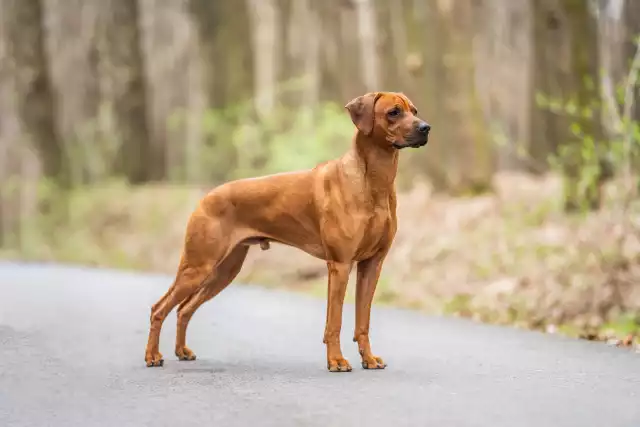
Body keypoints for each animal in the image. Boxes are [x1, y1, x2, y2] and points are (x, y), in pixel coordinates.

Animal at [144, 92, 430, 372]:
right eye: (394, 112)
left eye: (414, 111)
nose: (426, 128)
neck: (372, 181)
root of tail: (205, 198)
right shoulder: (340, 265)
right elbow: (334, 321)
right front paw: (336, 361)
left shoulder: (372, 265)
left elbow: (363, 321)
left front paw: (368, 359)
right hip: (198, 266)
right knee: (159, 308)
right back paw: (152, 356)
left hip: (223, 271)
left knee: (184, 309)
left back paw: (181, 351)